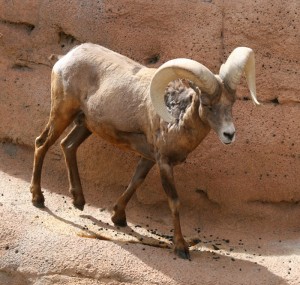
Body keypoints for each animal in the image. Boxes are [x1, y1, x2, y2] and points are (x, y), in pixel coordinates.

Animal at [31, 43, 260, 258]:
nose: (229, 134)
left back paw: (78, 201)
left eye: (232, 103)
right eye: (207, 104)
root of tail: (64, 59)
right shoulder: (164, 163)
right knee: (41, 144)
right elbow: (174, 201)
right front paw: (181, 248)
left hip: (85, 124)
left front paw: (118, 218)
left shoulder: (149, 158)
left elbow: (135, 181)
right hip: (62, 113)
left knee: (67, 145)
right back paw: (38, 199)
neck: (175, 119)